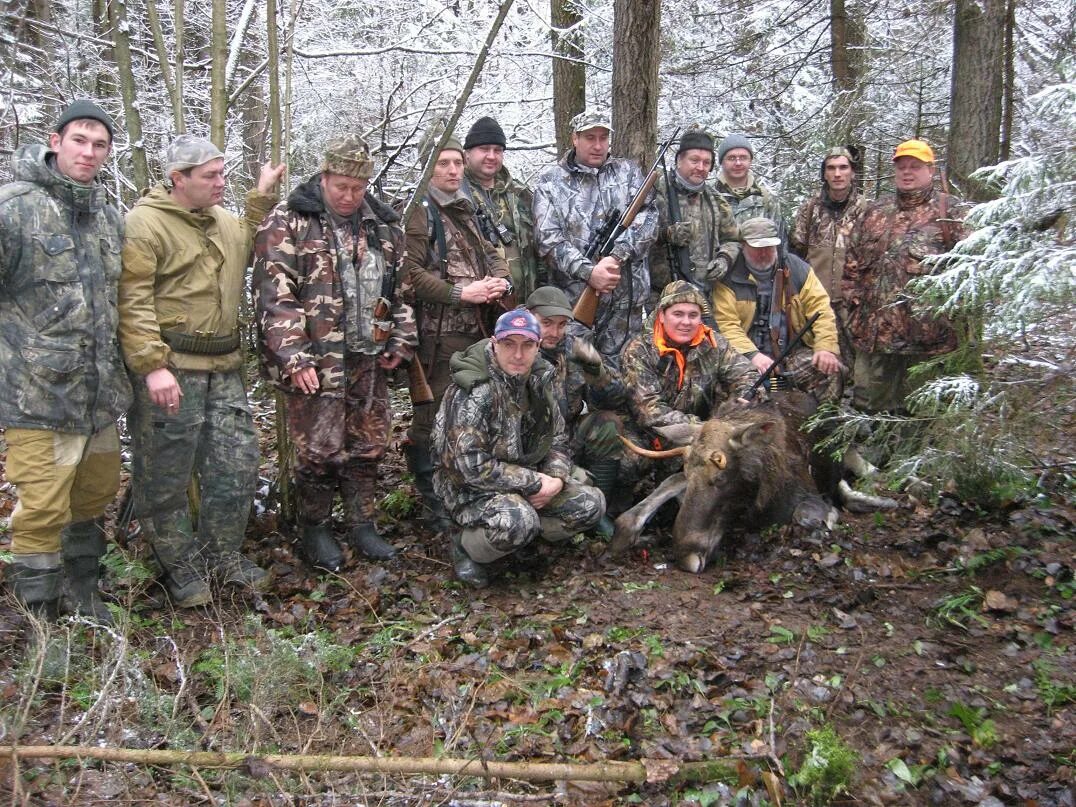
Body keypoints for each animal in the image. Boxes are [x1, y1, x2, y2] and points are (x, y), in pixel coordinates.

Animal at [611, 391, 895, 576]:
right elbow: (661, 488)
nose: (686, 557)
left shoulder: (806, 493)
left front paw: (830, 516)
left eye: (722, 478)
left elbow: (807, 516)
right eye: (690, 475)